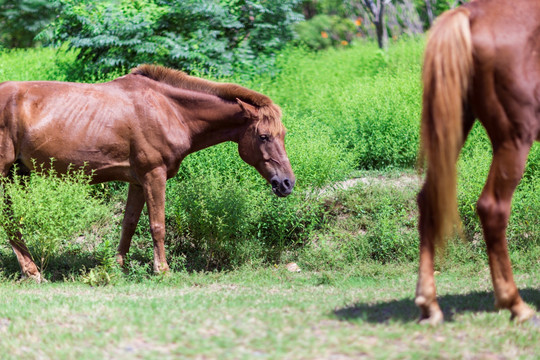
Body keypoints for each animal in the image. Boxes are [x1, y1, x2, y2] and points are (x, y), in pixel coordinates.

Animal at [0, 64, 296, 282]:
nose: (286, 183)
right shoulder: (154, 176)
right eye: (264, 136)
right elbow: (157, 225)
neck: (169, 110)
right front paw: (162, 270)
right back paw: (32, 271)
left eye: (283, 134)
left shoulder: (138, 181)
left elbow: (129, 224)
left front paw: (118, 267)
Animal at [418, 0, 540, 326]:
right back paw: (516, 305)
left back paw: (429, 304)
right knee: (492, 208)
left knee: (427, 199)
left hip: (453, 127)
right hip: (514, 140)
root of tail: (471, 13)